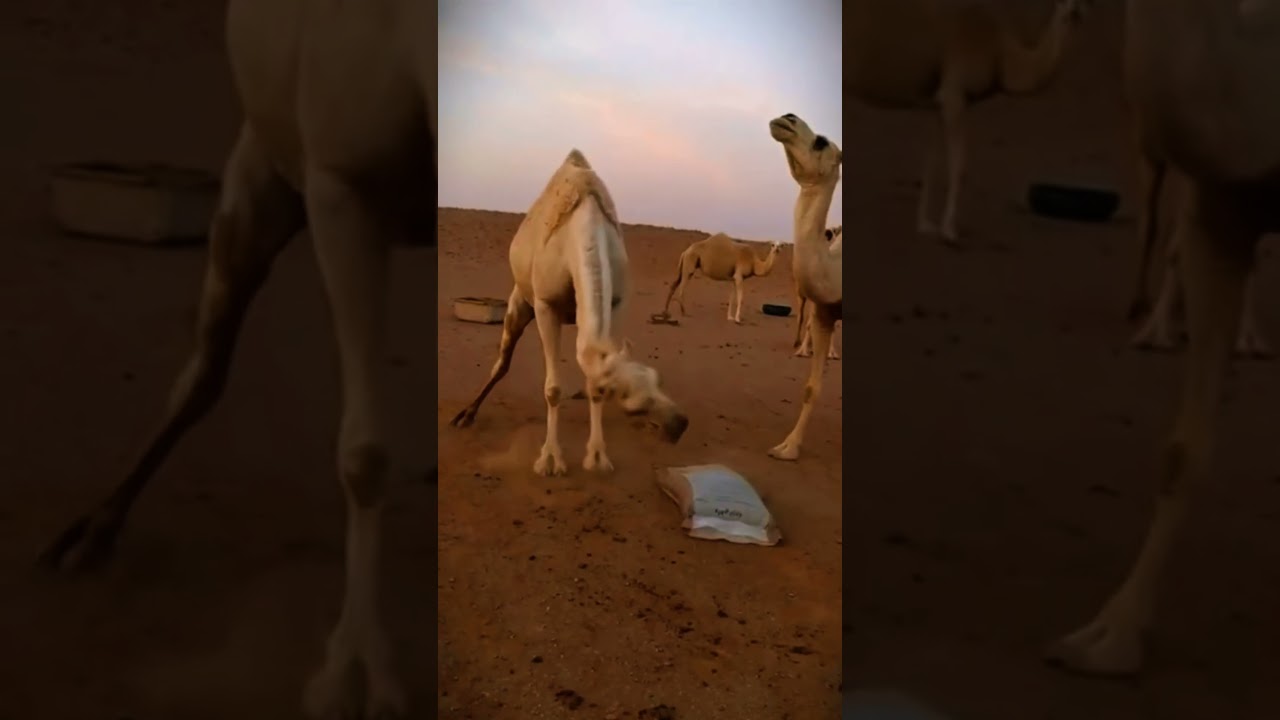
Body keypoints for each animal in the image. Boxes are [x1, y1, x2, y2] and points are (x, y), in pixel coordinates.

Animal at [39, 1, 434, 717]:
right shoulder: (340, 186)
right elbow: (365, 455)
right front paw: (355, 677)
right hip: (261, 171)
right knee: (203, 368)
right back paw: (92, 532)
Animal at [451, 150, 688, 476]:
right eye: (636, 407)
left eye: (659, 380)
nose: (680, 425)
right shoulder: (545, 305)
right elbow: (552, 388)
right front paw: (550, 459)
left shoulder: (617, 303)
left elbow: (593, 379)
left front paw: (597, 457)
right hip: (520, 301)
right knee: (502, 362)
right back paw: (466, 414)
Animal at [795, 225, 843, 359]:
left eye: (835, 231)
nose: (828, 232)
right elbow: (809, 325)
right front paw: (803, 351)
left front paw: (832, 352)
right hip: (800, 294)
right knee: (800, 317)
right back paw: (797, 342)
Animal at [847, 0, 1091, 246]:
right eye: (1065, 9)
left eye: (1082, 8)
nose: (1075, 14)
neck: (1000, 53)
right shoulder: (954, 94)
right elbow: (959, 166)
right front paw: (949, 232)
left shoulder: (938, 104)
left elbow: (932, 163)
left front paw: (925, 225)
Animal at [1127, 150, 1271, 357]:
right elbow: (1176, 249)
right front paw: (1153, 337)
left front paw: (1249, 342)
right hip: (1151, 162)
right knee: (1150, 224)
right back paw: (1141, 307)